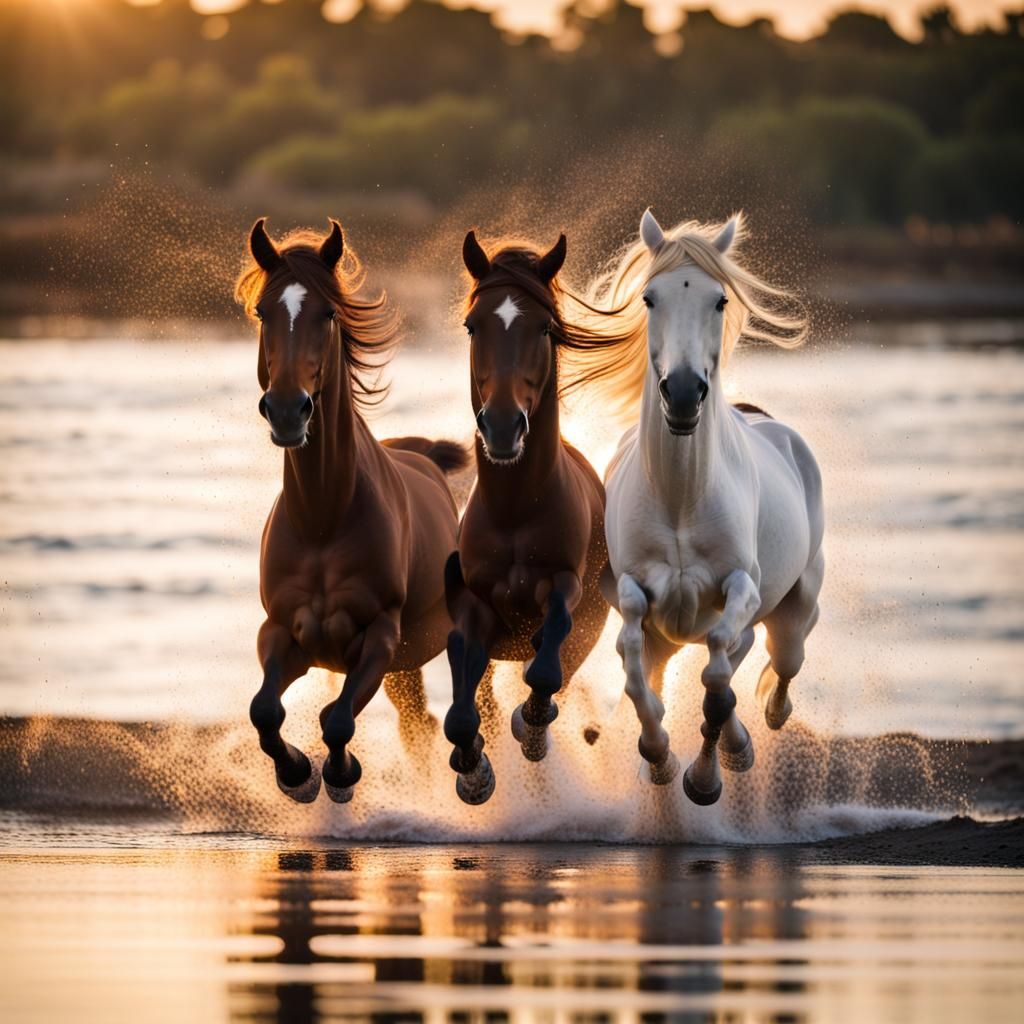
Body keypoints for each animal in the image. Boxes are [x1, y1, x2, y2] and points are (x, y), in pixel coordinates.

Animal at [235, 218, 469, 804]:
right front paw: (296, 773)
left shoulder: (379, 637)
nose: (288, 410)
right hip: (407, 667)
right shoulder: (282, 631)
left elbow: (336, 719)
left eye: (328, 314)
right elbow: (265, 710)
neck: (324, 518)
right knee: (418, 725)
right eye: (263, 312)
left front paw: (338, 776)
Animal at [442, 230, 632, 805]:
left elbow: (546, 665)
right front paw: (474, 773)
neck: (515, 511)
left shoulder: (564, 586)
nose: (503, 426)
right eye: (472, 325)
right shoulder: (476, 606)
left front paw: (531, 726)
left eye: (544, 327)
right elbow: (462, 709)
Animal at [595, 208, 823, 806]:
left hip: (795, 610)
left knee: (775, 661)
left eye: (720, 300)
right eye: (649, 298)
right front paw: (657, 755)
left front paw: (705, 777)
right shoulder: (635, 590)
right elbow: (633, 661)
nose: (681, 393)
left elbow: (717, 677)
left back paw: (754, 731)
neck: (681, 497)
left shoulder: (739, 585)